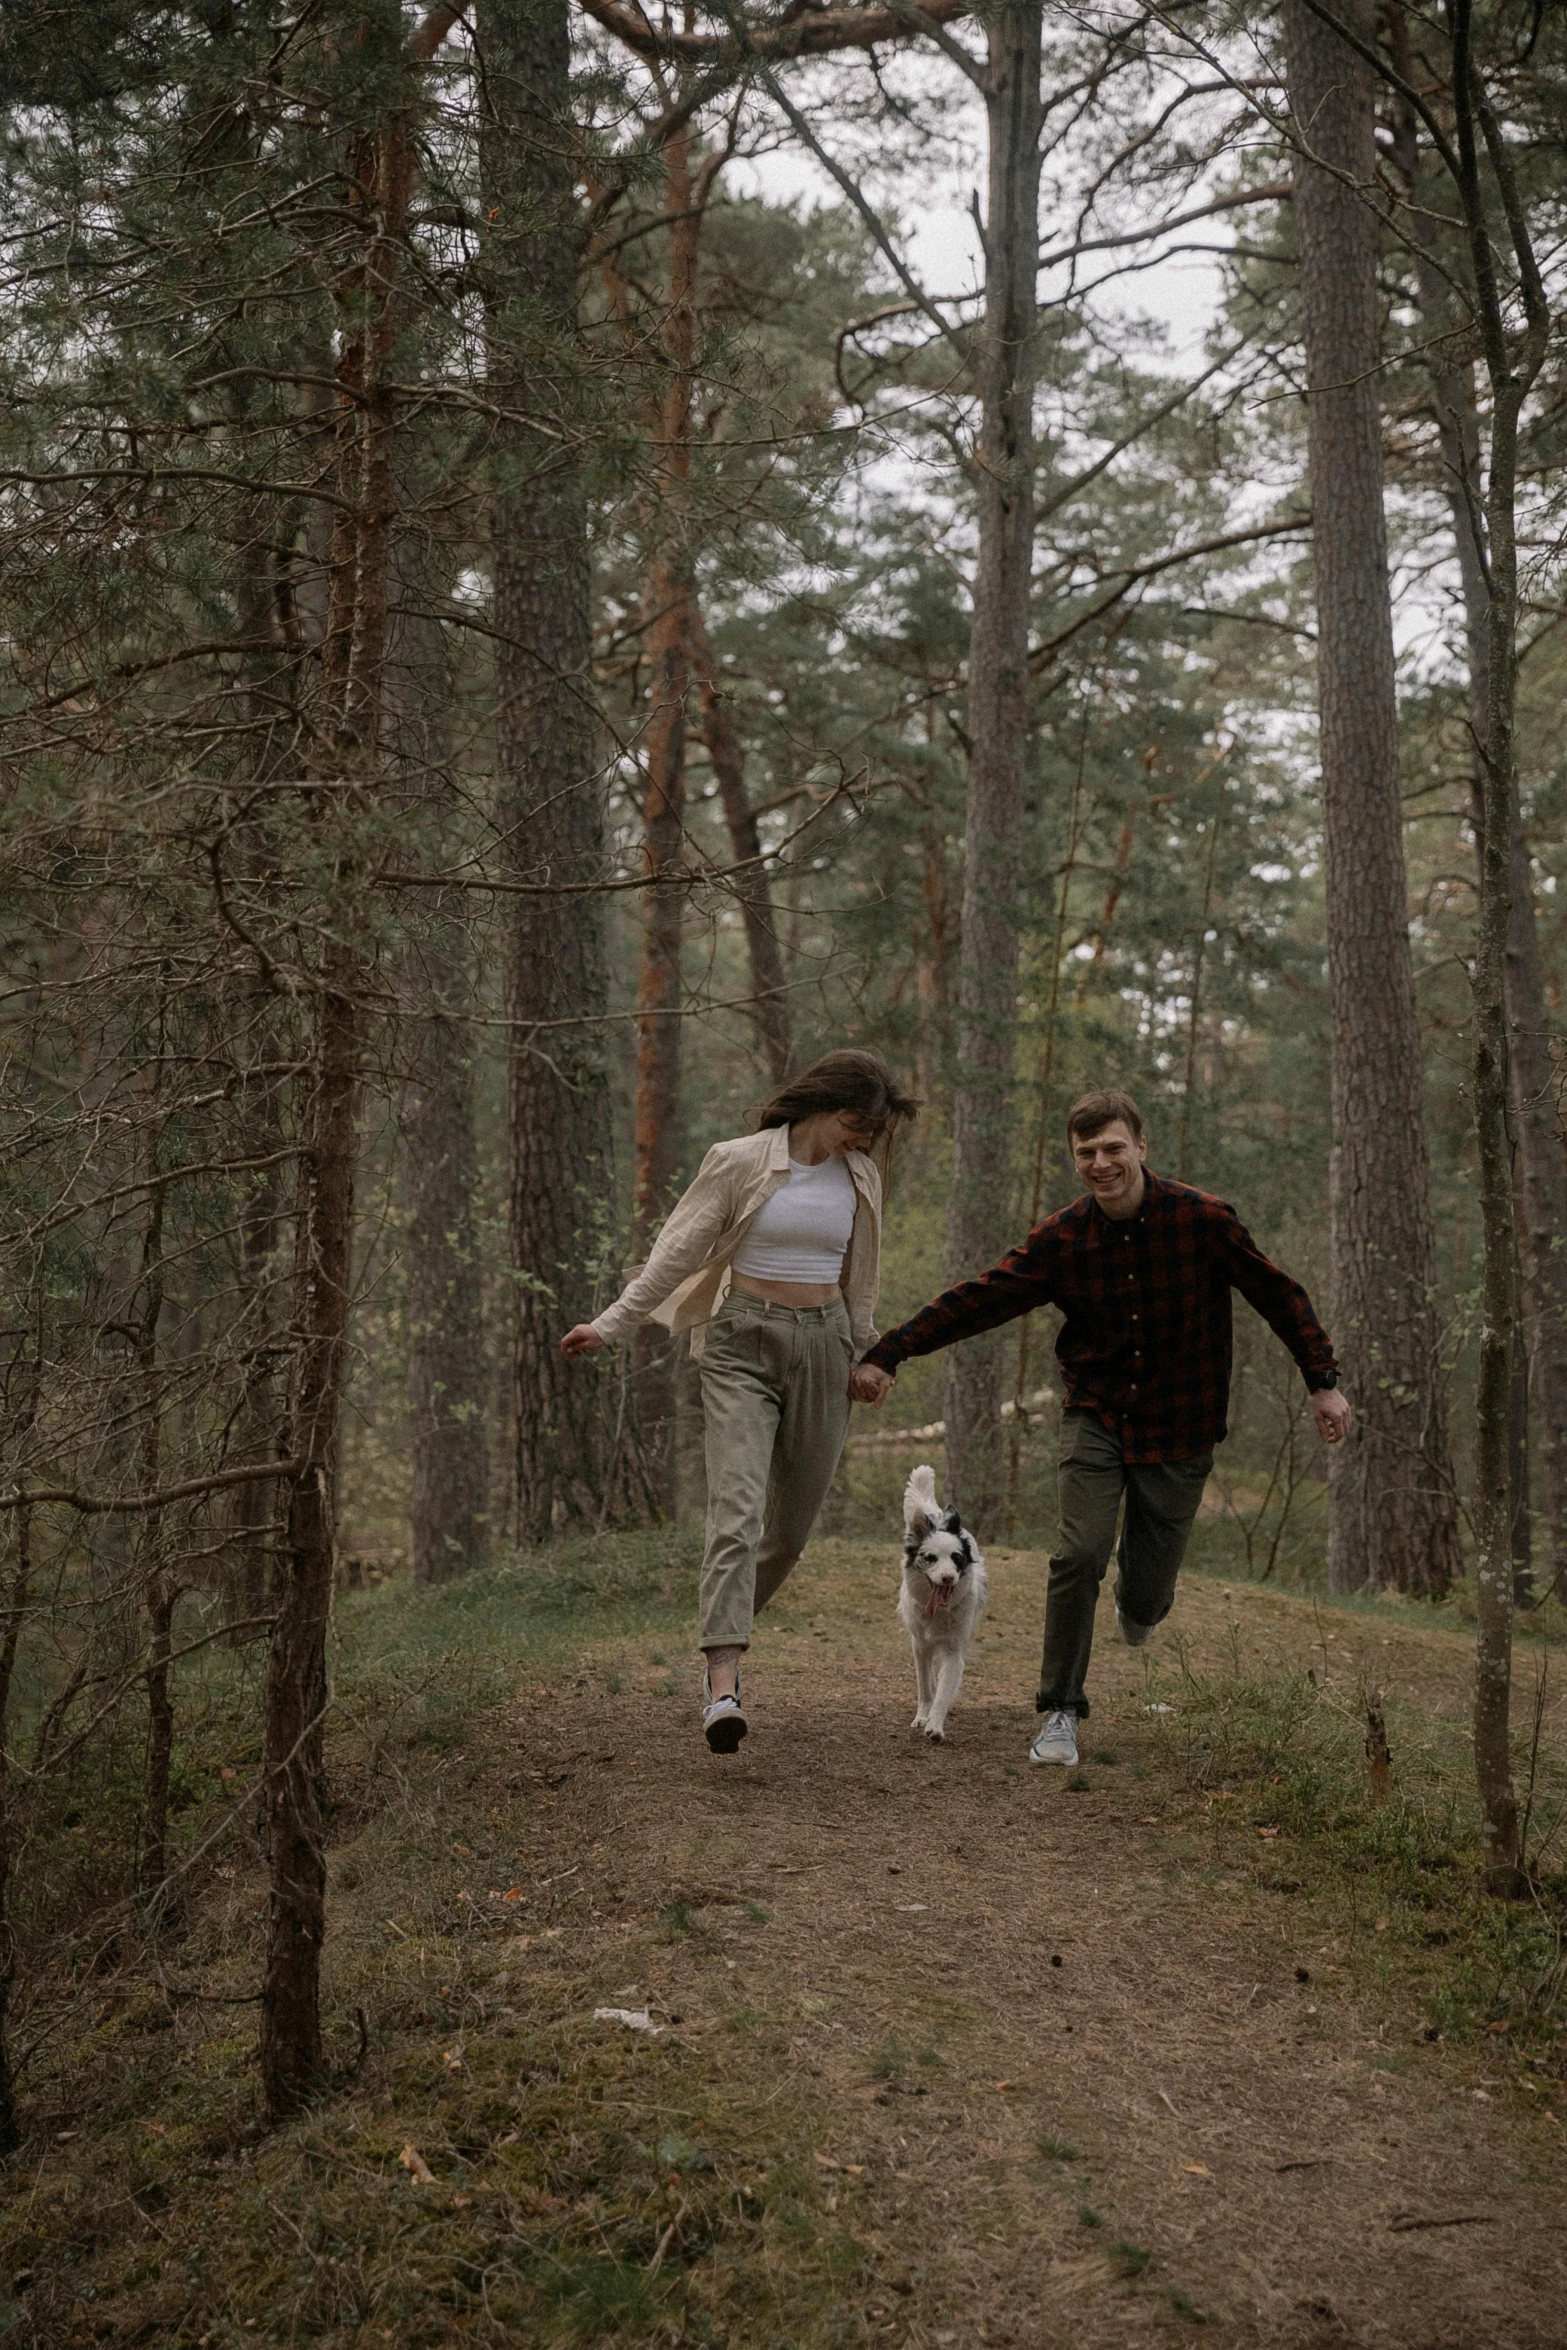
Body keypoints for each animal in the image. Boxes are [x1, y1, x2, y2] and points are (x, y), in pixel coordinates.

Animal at [902, 1457, 986, 1738]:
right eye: (931, 1558)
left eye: (956, 1558)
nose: (948, 1577)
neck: (938, 1613)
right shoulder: (920, 1645)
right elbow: (926, 1687)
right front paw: (922, 1716)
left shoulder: (953, 1650)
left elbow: (944, 1689)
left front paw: (935, 1725)